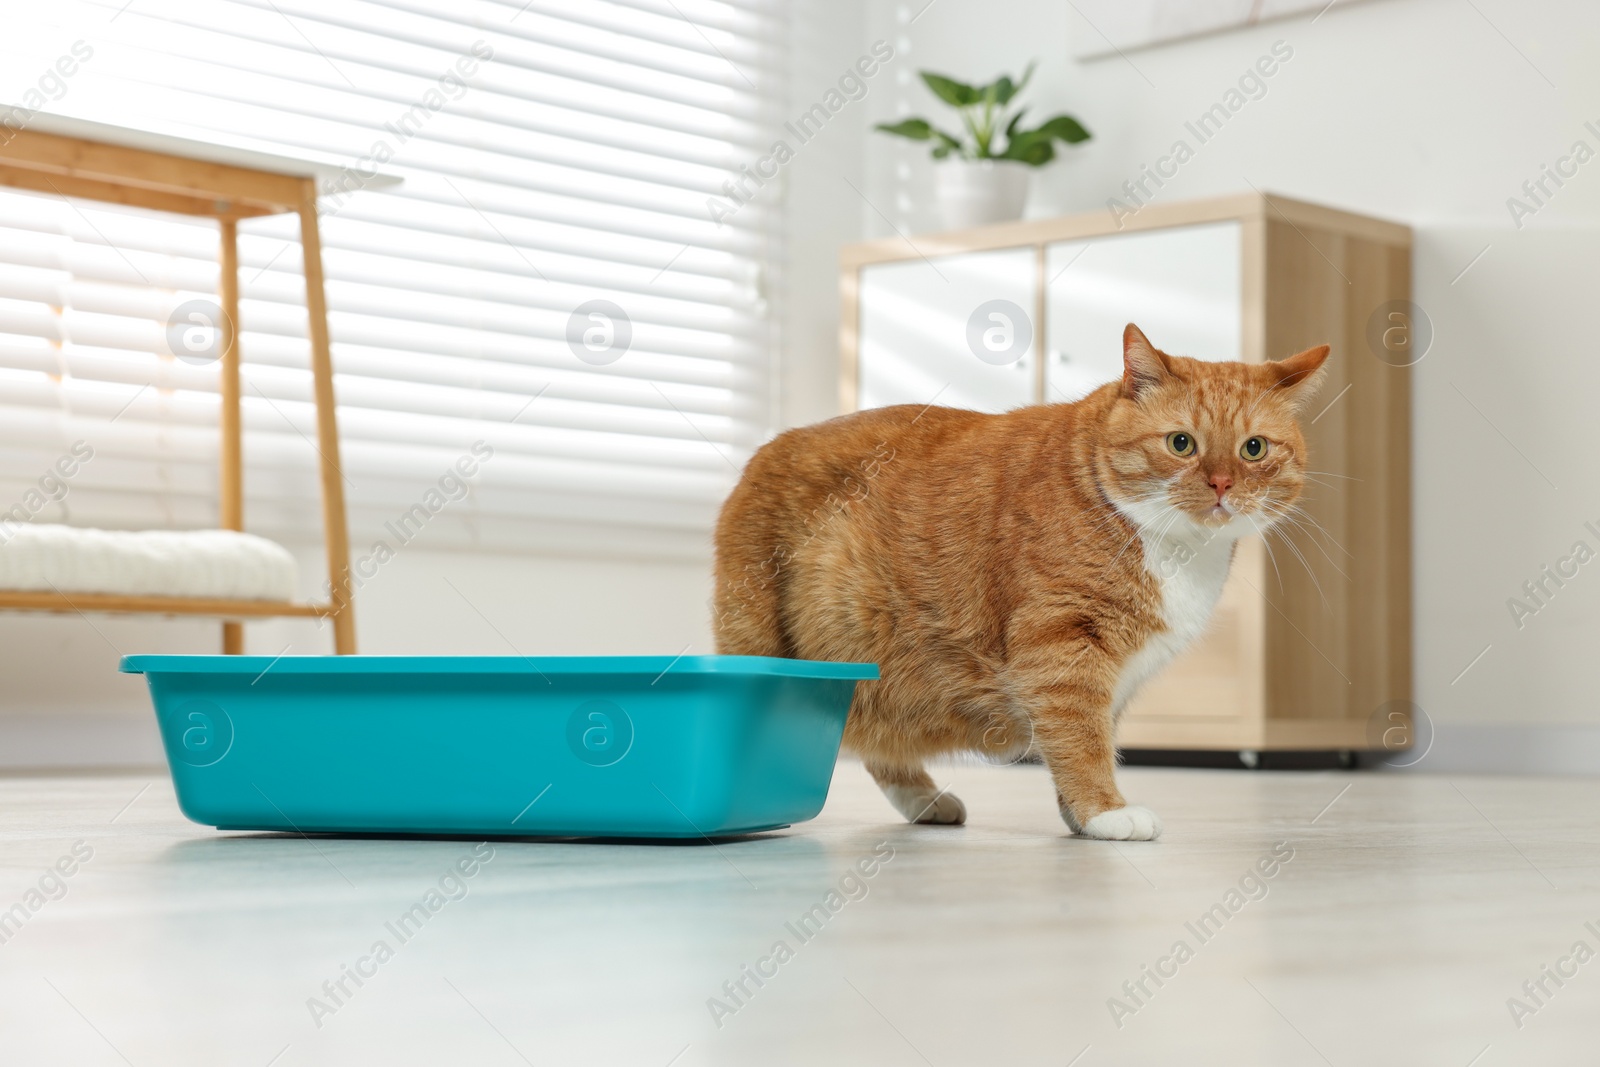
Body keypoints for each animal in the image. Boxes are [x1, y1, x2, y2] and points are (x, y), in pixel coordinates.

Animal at [713, 326, 1324, 844]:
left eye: (1253, 449)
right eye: (1181, 443)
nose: (1221, 484)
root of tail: (771, 445)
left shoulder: (1106, 678)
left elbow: (1087, 737)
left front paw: (1078, 816)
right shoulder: (1062, 645)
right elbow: (1082, 740)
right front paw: (1105, 812)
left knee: (881, 745)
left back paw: (925, 802)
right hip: (768, 640)